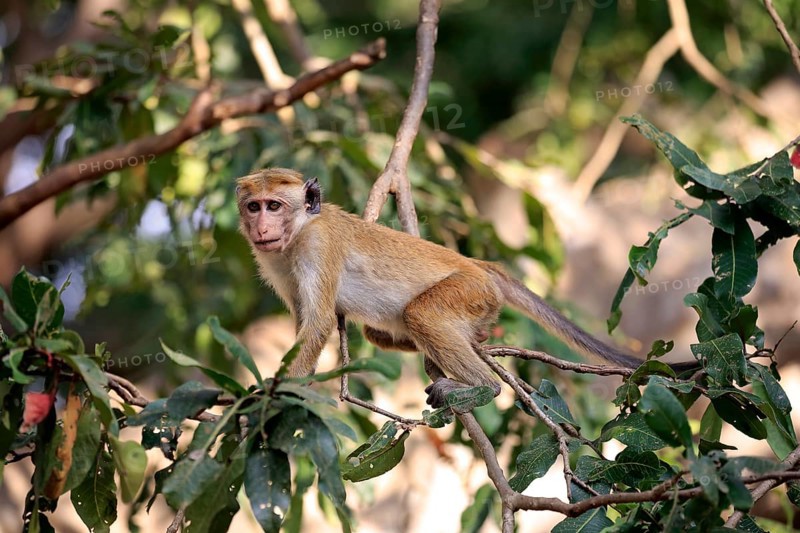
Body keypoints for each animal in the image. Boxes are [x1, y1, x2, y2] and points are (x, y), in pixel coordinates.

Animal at [236, 168, 676, 407]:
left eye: (274, 205)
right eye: (253, 206)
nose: (261, 227)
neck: (298, 232)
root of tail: (481, 266)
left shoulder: (319, 244)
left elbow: (319, 321)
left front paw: (272, 395)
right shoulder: (272, 261)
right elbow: (304, 323)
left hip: (469, 289)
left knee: (421, 313)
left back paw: (479, 384)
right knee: (380, 331)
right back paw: (474, 339)